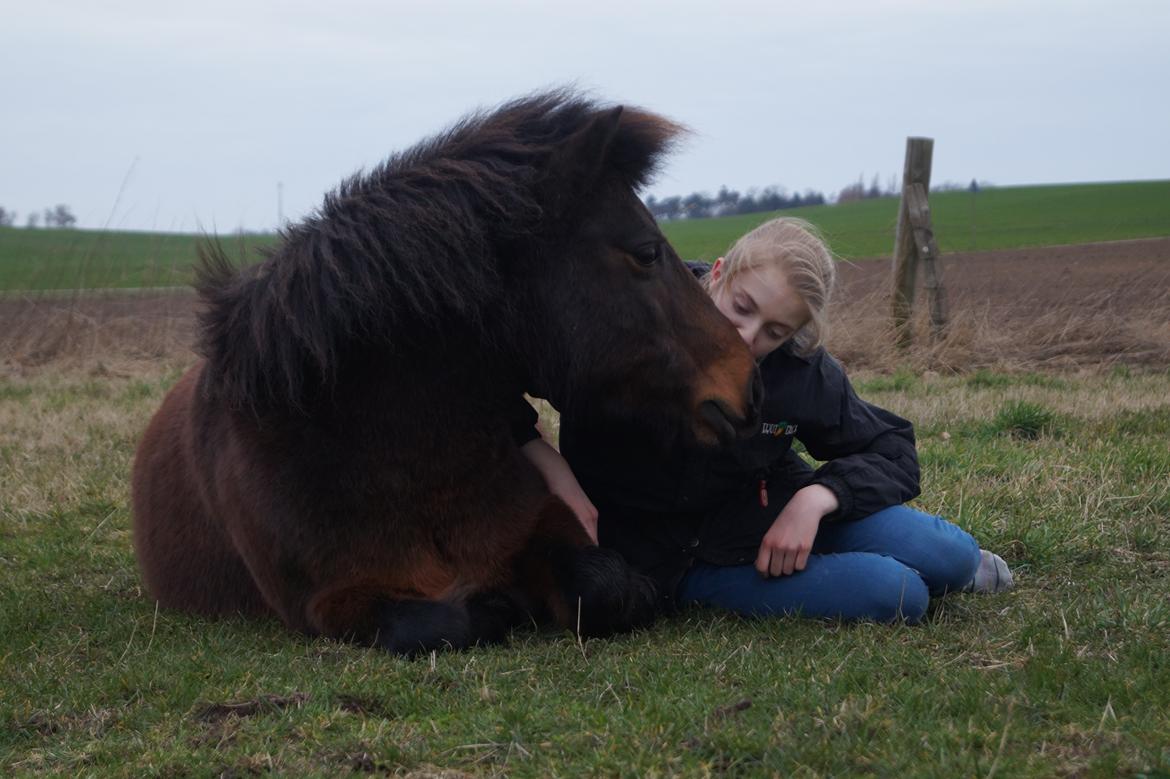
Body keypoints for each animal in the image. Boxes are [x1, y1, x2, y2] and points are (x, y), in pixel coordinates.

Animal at [132, 87, 762, 650]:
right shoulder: (328, 603)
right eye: (647, 252)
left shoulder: (544, 523)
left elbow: (604, 588)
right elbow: (437, 623)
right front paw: (497, 606)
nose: (749, 382)